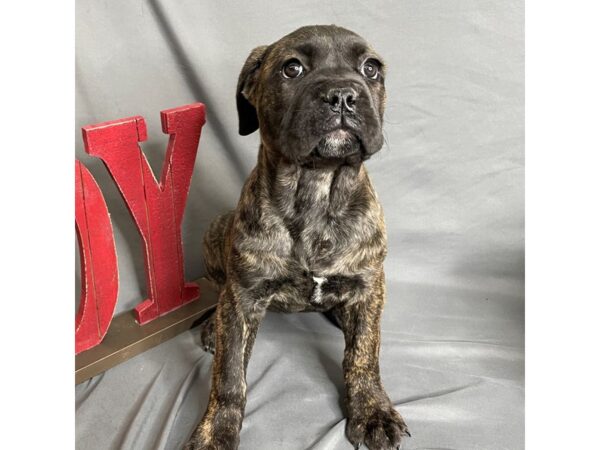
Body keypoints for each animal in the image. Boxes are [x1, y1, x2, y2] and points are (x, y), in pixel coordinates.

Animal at [185, 24, 410, 450]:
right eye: (292, 68)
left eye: (371, 68)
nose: (343, 95)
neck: (317, 189)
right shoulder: (242, 297)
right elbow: (229, 374)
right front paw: (216, 431)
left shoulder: (370, 284)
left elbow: (363, 354)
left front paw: (372, 411)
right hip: (215, 230)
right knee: (218, 298)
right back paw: (209, 328)